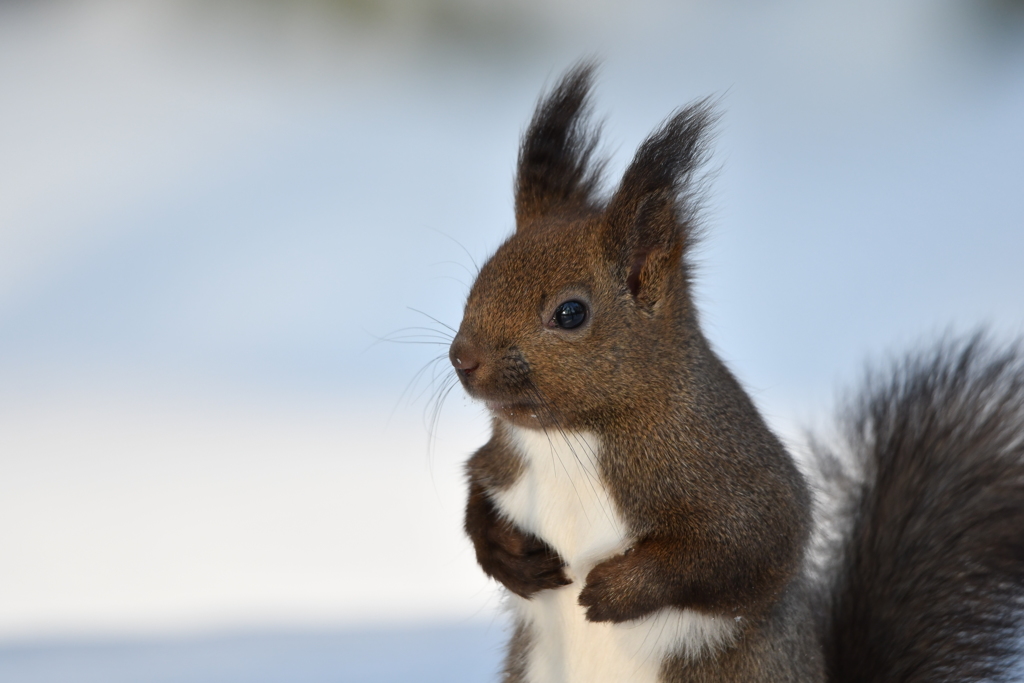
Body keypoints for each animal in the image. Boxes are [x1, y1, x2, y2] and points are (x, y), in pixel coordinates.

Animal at [446, 61, 1024, 679]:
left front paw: (616, 589)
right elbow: (476, 493)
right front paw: (506, 555)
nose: (462, 358)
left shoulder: (731, 471)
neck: (567, 437)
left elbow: (745, 548)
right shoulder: (503, 463)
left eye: (570, 313)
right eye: (482, 276)